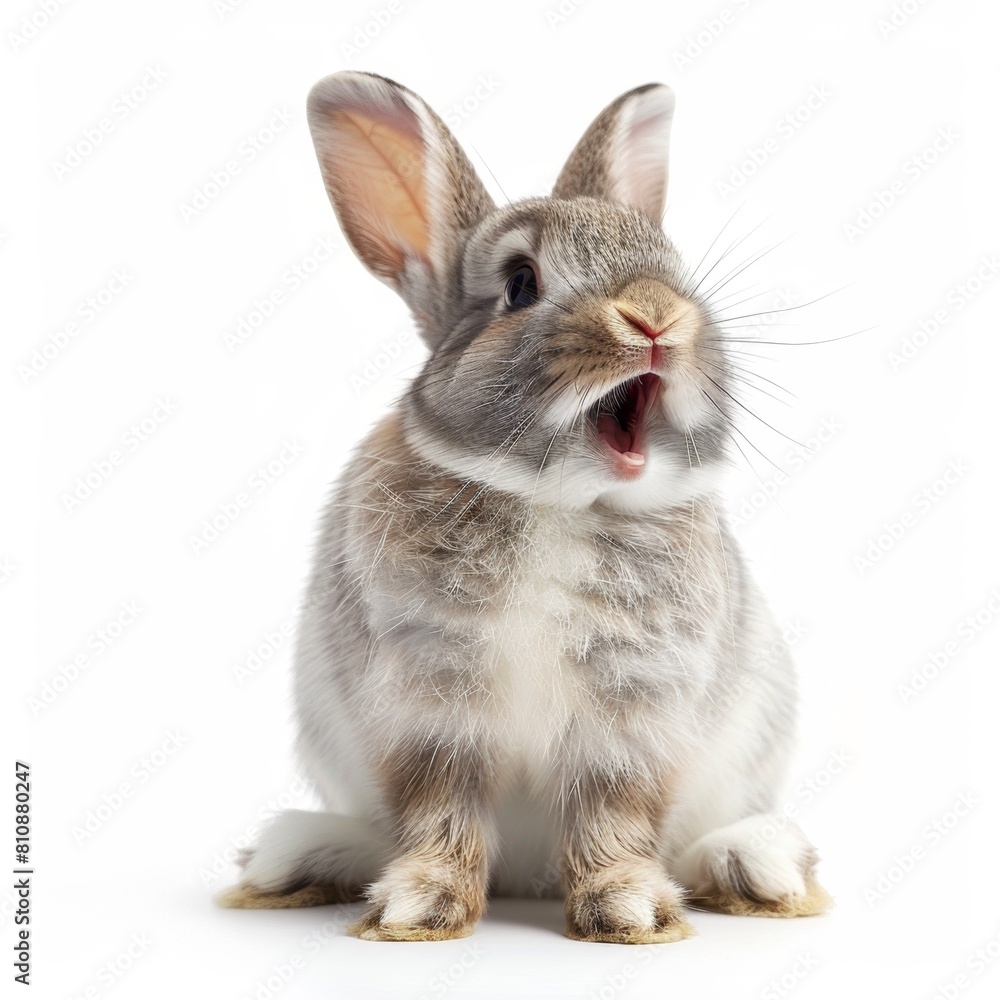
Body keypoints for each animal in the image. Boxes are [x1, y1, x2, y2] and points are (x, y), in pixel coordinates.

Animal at [216, 71, 830, 943]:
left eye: (672, 267)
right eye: (519, 284)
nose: (657, 317)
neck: (556, 503)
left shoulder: (631, 713)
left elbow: (613, 812)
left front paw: (629, 910)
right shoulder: (430, 706)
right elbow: (442, 809)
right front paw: (418, 909)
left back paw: (757, 868)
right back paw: (295, 857)